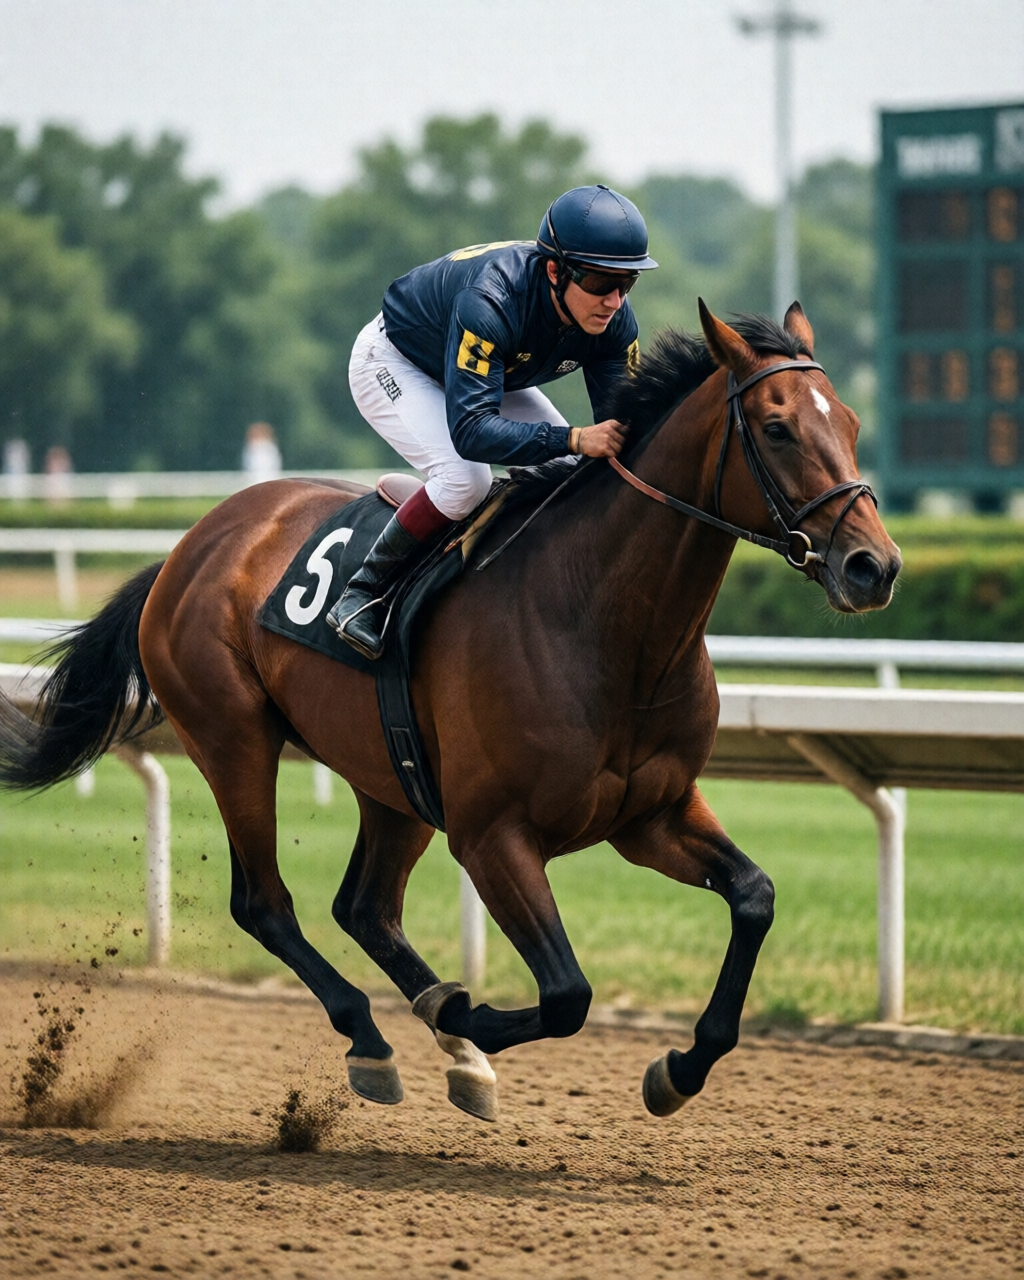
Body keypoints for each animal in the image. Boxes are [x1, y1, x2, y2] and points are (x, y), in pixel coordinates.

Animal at [0, 301, 901, 1123]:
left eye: (853, 421)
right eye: (777, 428)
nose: (875, 566)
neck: (605, 623)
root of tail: (190, 546)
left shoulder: (652, 813)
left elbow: (753, 897)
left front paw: (676, 1068)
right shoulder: (492, 833)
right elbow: (568, 992)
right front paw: (460, 1011)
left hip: (389, 776)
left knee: (363, 907)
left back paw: (444, 1049)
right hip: (233, 738)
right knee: (266, 903)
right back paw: (376, 1037)